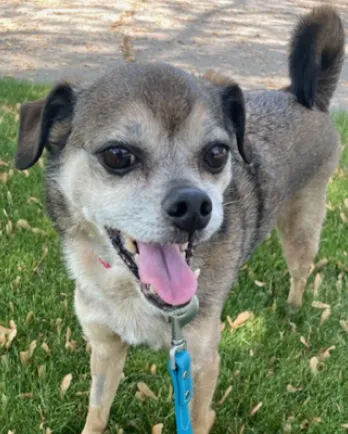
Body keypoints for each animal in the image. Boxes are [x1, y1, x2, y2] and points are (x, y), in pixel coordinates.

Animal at [14, 6, 346, 434]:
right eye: (117, 155)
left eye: (217, 153)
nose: (194, 206)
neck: (130, 291)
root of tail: (306, 98)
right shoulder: (105, 348)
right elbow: (97, 412)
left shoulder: (202, 366)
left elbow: (199, 415)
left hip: (303, 226)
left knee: (300, 272)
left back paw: (292, 307)